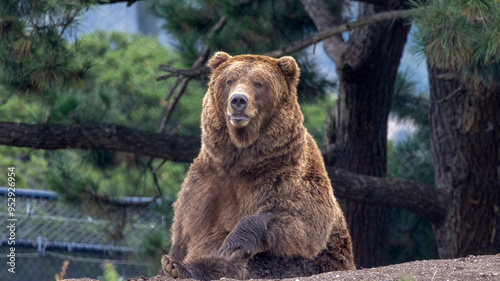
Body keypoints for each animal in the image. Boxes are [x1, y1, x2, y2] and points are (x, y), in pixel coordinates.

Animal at [161, 51, 356, 278]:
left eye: (259, 83)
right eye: (229, 80)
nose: (238, 100)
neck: (240, 160)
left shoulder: (286, 175)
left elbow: (303, 219)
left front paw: (233, 244)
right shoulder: (205, 184)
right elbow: (186, 230)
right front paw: (173, 258)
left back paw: (182, 268)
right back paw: (173, 265)